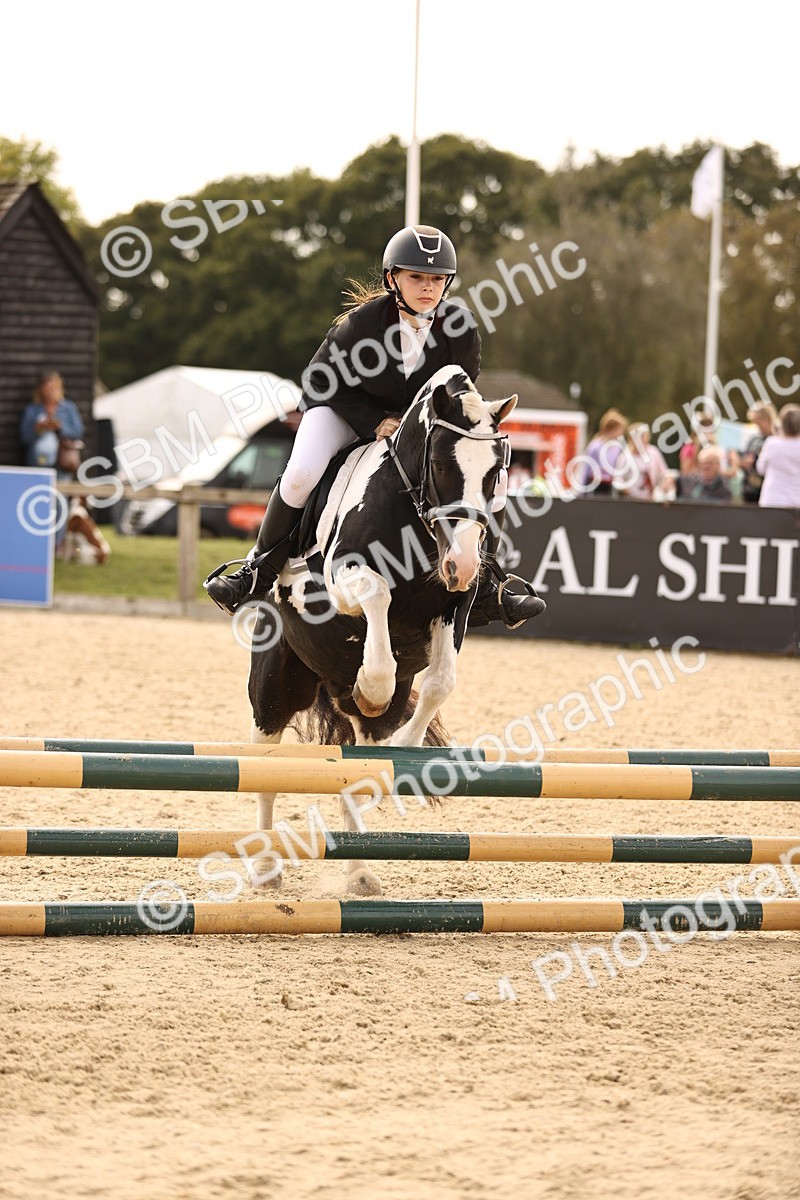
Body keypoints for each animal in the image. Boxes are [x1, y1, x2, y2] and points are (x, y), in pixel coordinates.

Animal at [247, 365, 517, 894]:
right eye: (440, 464)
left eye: (495, 471)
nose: (462, 564)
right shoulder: (342, 580)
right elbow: (378, 604)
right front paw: (372, 686)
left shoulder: (454, 604)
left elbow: (439, 682)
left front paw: (405, 748)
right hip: (275, 687)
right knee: (265, 767)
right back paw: (267, 868)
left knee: (355, 772)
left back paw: (359, 874)